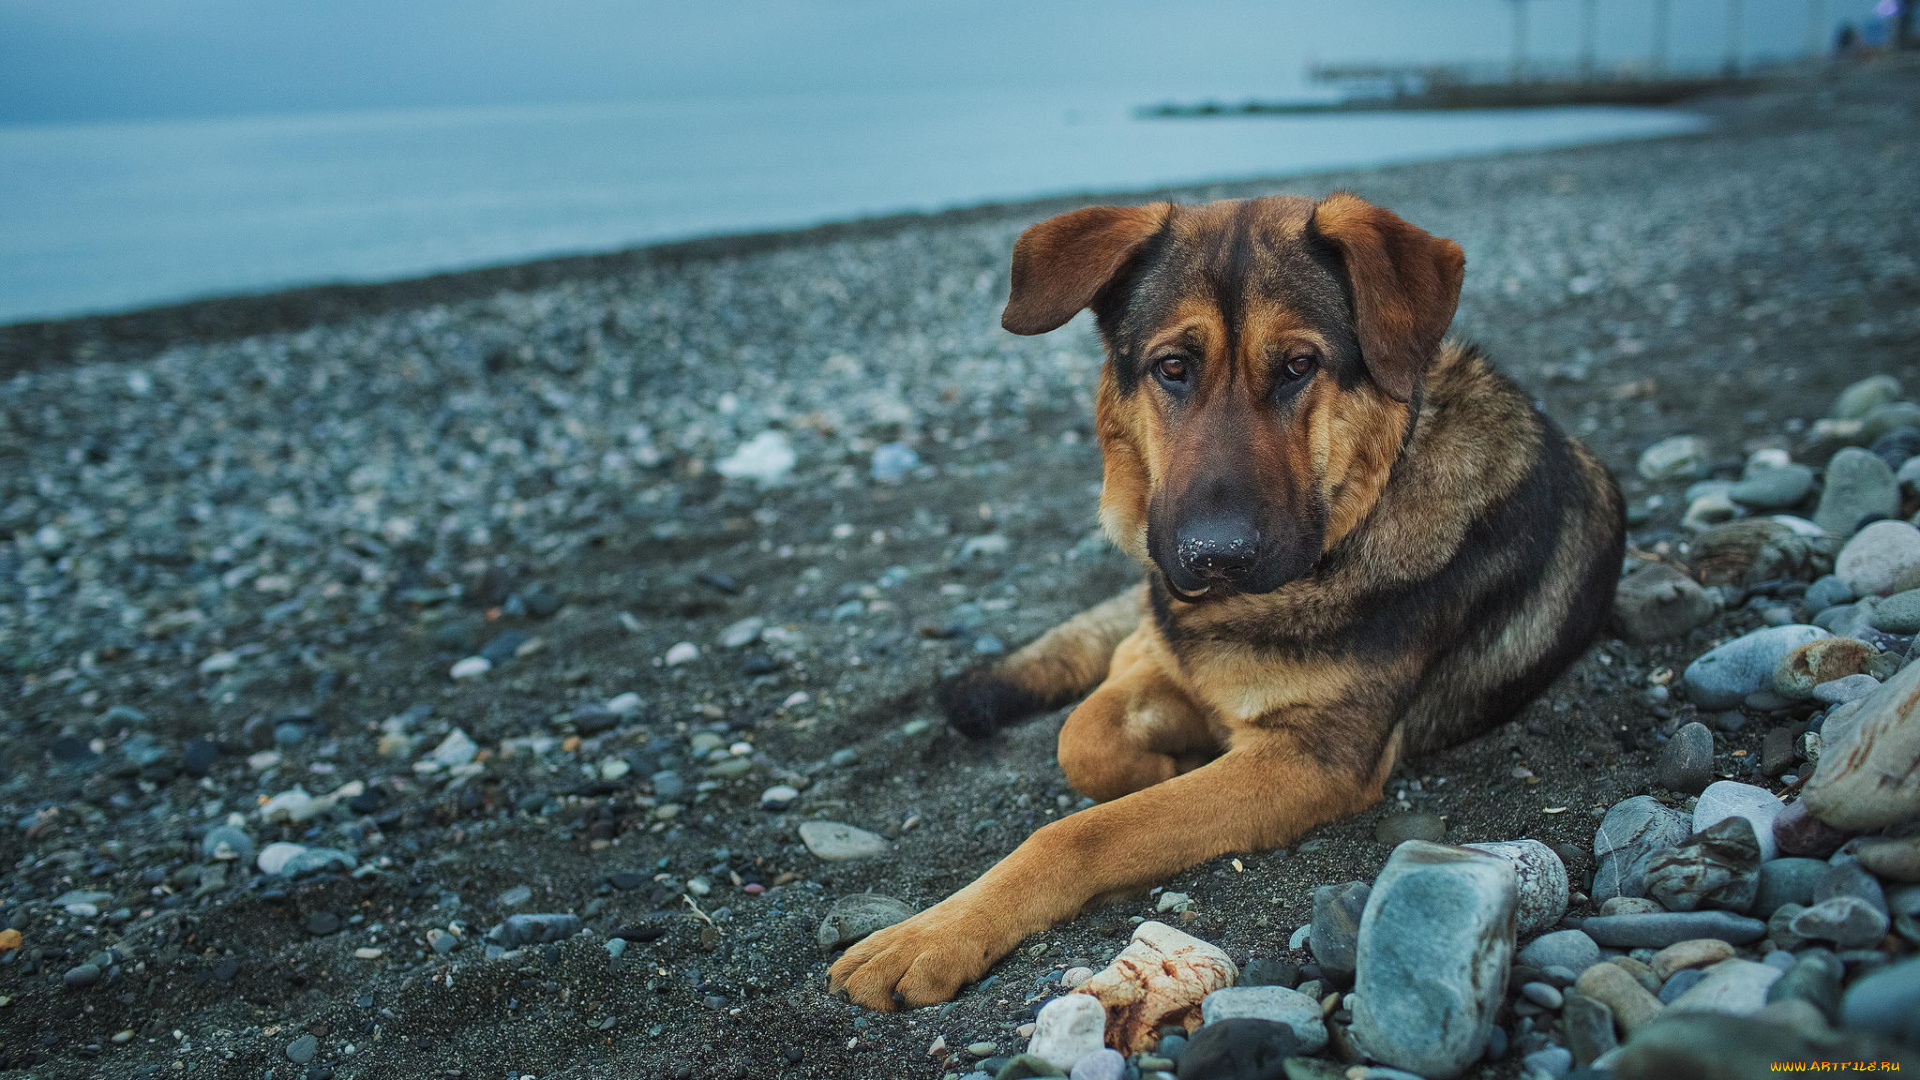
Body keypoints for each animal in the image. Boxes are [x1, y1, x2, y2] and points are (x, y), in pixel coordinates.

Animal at [825, 189, 1620, 1006]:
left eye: (1300, 366)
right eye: (1173, 367)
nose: (1216, 556)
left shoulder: (1310, 759)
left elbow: (1086, 829)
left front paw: (934, 933)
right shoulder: (1170, 662)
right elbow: (1082, 735)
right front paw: (1155, 762)